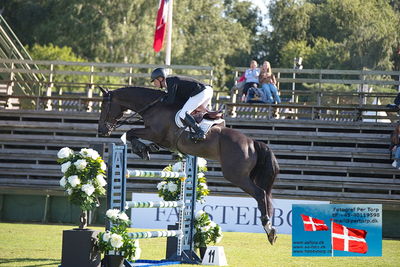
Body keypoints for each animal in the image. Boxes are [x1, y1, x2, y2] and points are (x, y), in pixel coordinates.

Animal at [97, 86, 280, 245]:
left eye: (104, 106)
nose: (101, 131)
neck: (154, 107)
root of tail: (252, 142)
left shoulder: (155, 133)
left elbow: (130, 133)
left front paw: (141, 149)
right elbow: (133, 135)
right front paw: (146, 149)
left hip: (236, 176)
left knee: (261, 194)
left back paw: (268, 227)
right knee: (265, 196)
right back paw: (270, 230)